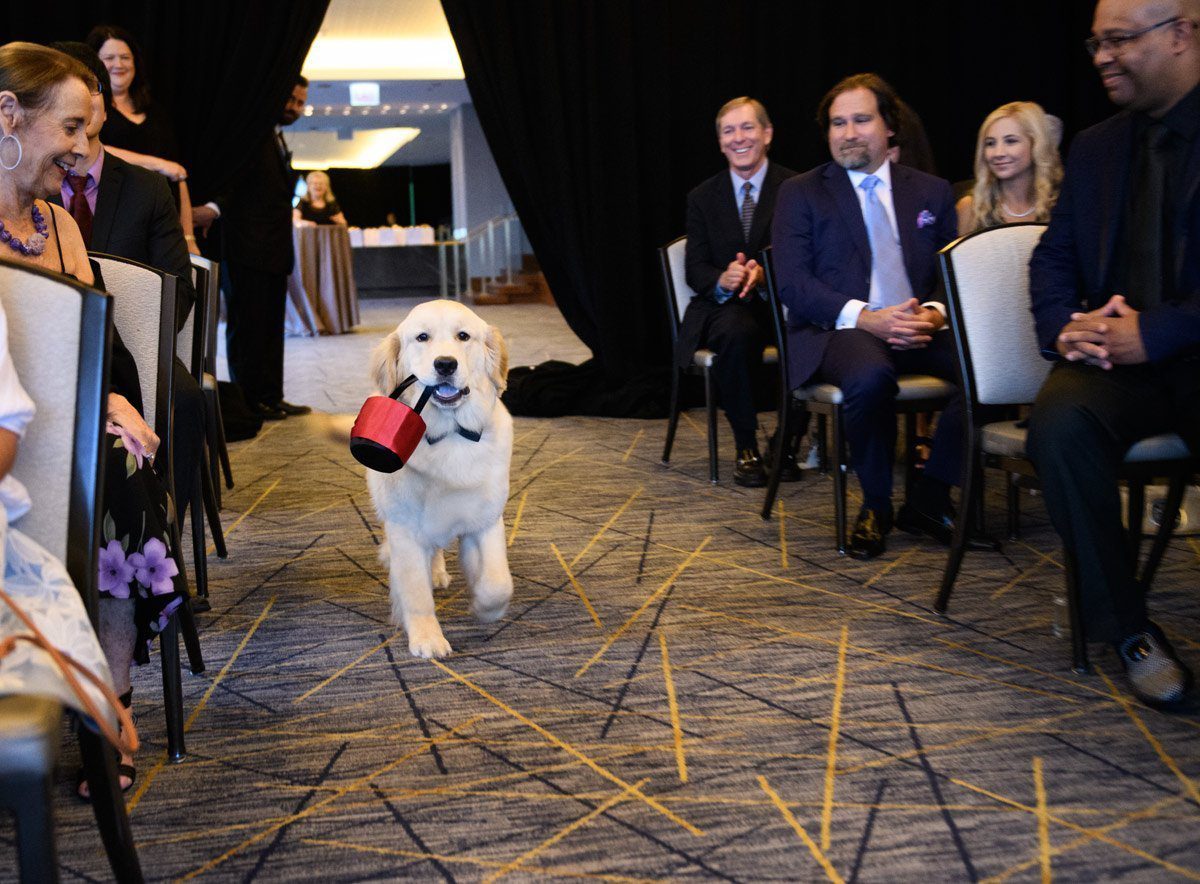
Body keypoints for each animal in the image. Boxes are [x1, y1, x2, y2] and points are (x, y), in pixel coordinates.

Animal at [367, 299, 513, 652]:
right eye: (422, 337)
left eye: (463, 336)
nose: (445, 364)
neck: (451, 434)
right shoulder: (405, 527)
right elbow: (416, 592)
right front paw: (427, 638)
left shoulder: (486, 520)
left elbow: (498, 581)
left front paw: (485, 608)